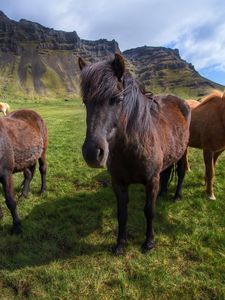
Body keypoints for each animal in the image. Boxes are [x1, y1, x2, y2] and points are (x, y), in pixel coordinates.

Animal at [78, 52, 191, 254]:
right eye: (85, 101)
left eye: (116, 99)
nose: (92, 153)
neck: (131, 149)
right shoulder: (119, 183)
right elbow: (122, 214)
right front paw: (120, 244)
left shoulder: (151, 181)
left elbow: (149, 211)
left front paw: (149, 243)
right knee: (166, 173)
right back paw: (163, 193)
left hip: (183, 151)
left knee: (180, 172)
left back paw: (177, 196)